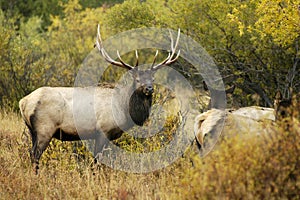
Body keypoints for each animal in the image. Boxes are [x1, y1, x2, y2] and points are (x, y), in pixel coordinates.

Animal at [19, 25, 182, 173]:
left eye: (153, 79)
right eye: (137, 79)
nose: (149, 88)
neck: (124, 110)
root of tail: (23, 102)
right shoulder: (103, 130)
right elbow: (97, 162)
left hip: (32, 130)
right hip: (44, 128)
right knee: (35, 155)